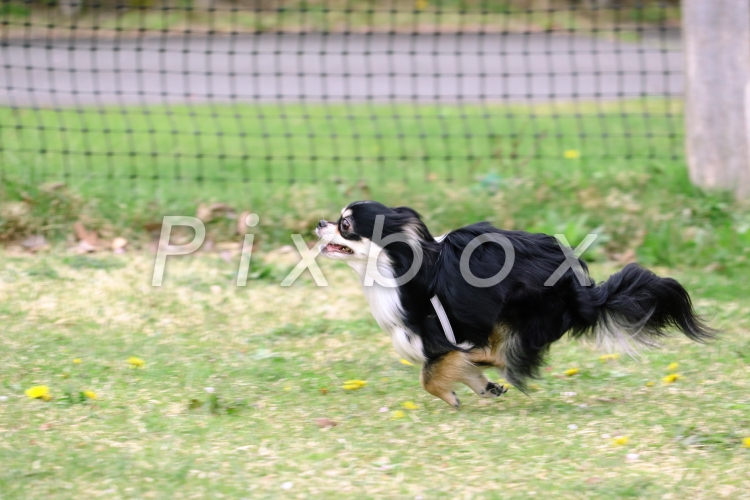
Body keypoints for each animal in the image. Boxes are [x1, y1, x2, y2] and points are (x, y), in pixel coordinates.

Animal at [318, 201, 716, 408]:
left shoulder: (437, 335)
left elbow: (429, 375)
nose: (321, 222)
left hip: (520, 308)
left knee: (502, 352)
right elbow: (449, 368)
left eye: (346, 224)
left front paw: (451, 393)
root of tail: (583, 289)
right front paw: (482, 386)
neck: (397, 266)